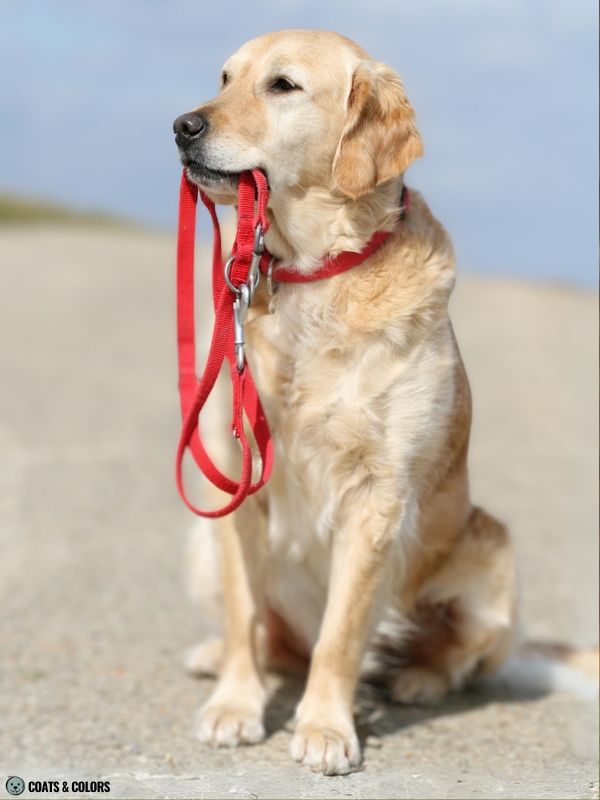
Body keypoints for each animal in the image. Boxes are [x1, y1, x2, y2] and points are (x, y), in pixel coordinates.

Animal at [172, 29, 516, 776]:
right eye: (224, 78)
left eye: (283, 86)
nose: (183, 125)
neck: (311, 273)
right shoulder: (235, 485)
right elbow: (244, 613)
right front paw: (237, 706)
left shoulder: (375, 495)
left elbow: (342, 631)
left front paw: (326, 728)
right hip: (200, 541)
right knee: (270, 642)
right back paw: (216, 658)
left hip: (496, 562)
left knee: (454, 658)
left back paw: (417, 678)